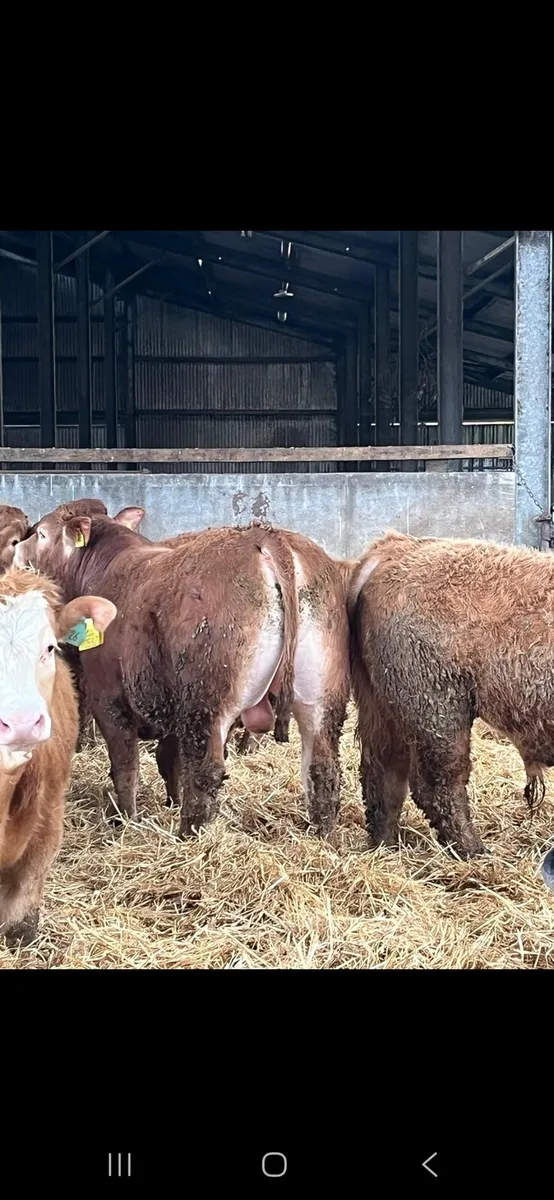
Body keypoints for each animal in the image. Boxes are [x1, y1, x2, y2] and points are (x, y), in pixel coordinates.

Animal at [349, 528, 554, 859]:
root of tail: (399, 547)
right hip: (439, 709)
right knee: (439, 784)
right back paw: (475, 851)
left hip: (383, 707)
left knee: (383, 775)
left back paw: (386, 846)